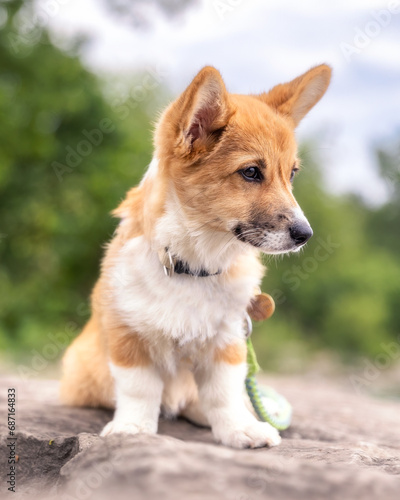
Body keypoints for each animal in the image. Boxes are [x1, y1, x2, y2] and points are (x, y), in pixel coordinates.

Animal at [60, 63, 332, 450]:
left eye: (291, 174)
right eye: (251, 172)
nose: (305, 235)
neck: (192, 264)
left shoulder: (228, 341)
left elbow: (223, 392)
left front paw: (239, 428)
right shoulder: (128, 335)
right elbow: (139, 388)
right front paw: (133, 427)